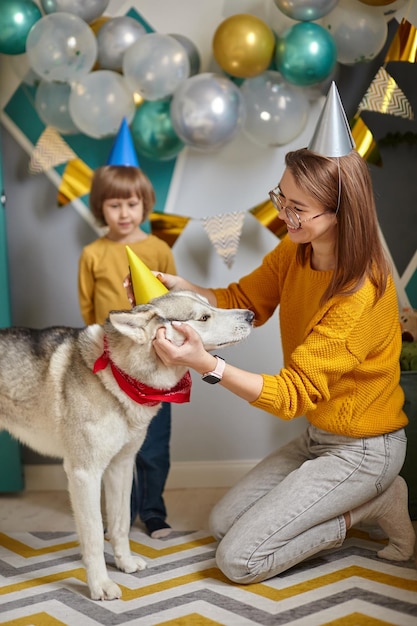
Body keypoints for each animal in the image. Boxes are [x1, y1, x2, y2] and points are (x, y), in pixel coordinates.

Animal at [0, 290, 254, 596]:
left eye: (209, 304)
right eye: (204, 317)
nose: (251, 315)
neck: (117, 375)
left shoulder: (120, 465)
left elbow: (120, 524)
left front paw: (125, 564)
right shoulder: (84, 474)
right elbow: (95, 536)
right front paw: (100, 585)